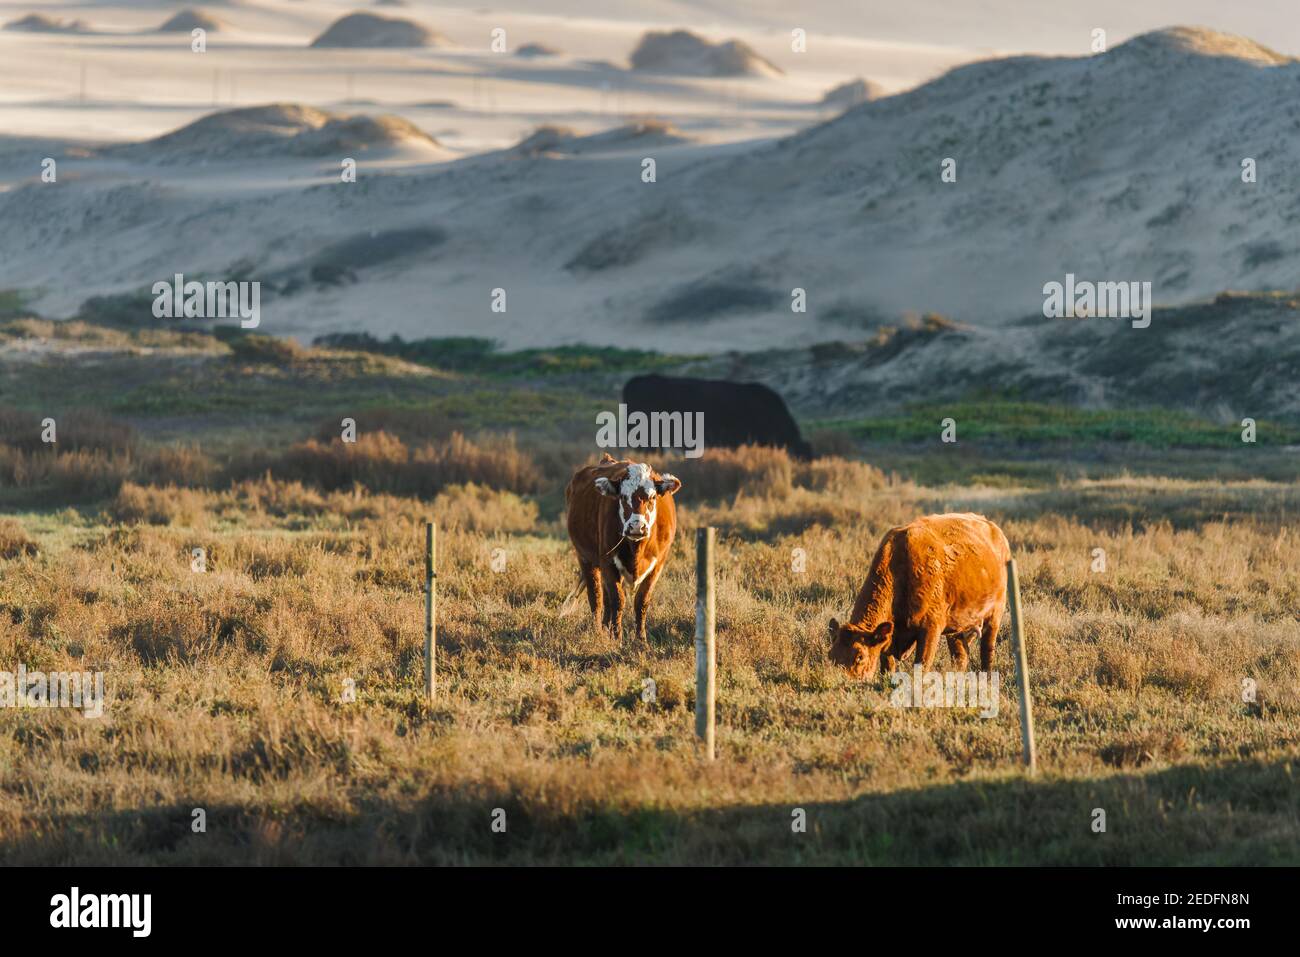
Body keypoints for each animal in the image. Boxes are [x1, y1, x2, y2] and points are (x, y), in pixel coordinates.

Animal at [566, 455, 686, 642]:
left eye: (652, 497)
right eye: (622, 497)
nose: (637, 526)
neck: (637, 548)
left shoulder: (658, 564)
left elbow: (641, 600)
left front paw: (640, 640)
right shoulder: (608, 561)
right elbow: (618, 600)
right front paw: (617, 638)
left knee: (606, 599)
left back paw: (606, 629)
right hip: (586, 558)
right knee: (596, 597)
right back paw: (598, 632)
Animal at [826, 512, 1008, 676]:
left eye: (860, 657)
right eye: (831, 656)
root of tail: (994, 529)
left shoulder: (930, 629)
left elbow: (922, 665)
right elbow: (888, 666)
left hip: (995, 614)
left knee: (987, 651)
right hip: (958, 626)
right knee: (960, 656)